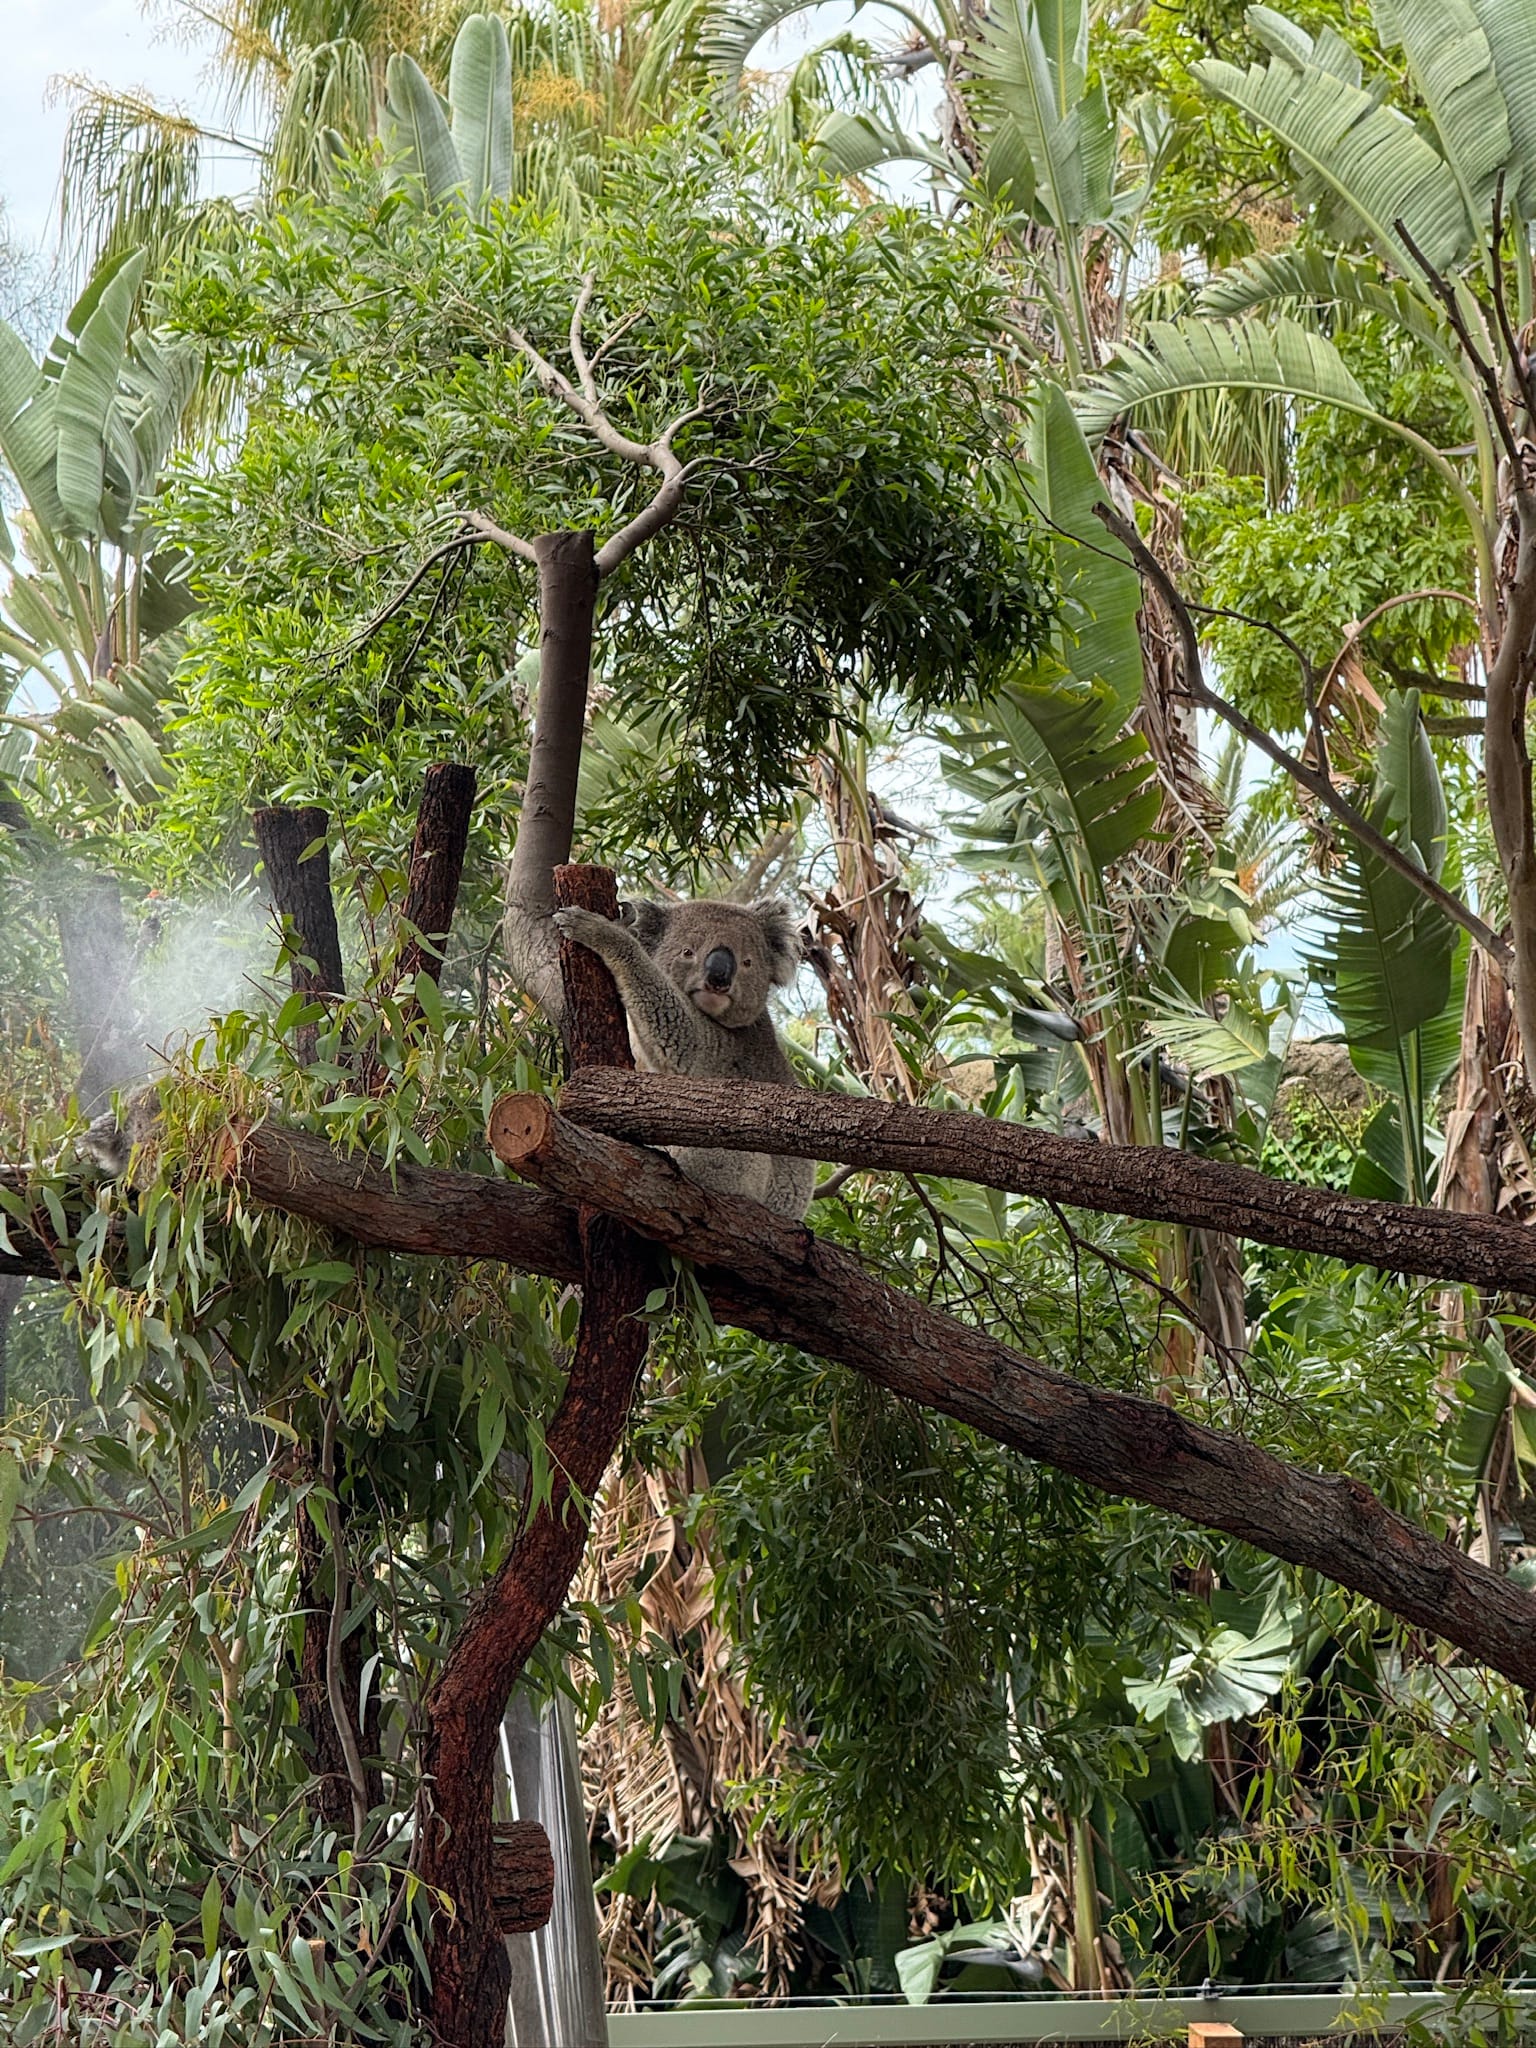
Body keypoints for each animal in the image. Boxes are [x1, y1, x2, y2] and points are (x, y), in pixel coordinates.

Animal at [544, 896, 818, 1220]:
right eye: (688, 952)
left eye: (747, 962)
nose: (718, 978)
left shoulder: (727, 1050)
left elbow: (679, 1034)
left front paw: (600, 930)